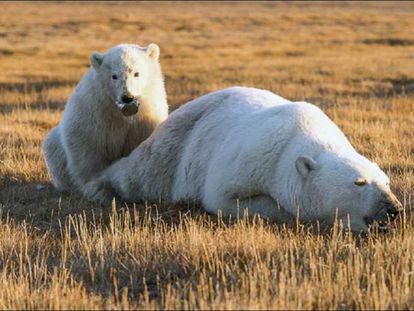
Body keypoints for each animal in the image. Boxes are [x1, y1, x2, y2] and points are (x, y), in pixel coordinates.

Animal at [42, 44, 168, 195]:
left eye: (136, 73)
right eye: (114, 76)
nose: (127, 97)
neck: (120, 113)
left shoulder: (143, 119)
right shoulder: (94, 114)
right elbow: (87, 150)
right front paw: (95, 186)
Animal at [87, 86, 402, 233]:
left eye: (386, 181)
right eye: (359, 182)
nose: (393, 208)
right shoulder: (254, 156)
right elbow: (225, 197)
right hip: (176, 145)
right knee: (140, 172)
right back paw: (101, 185)